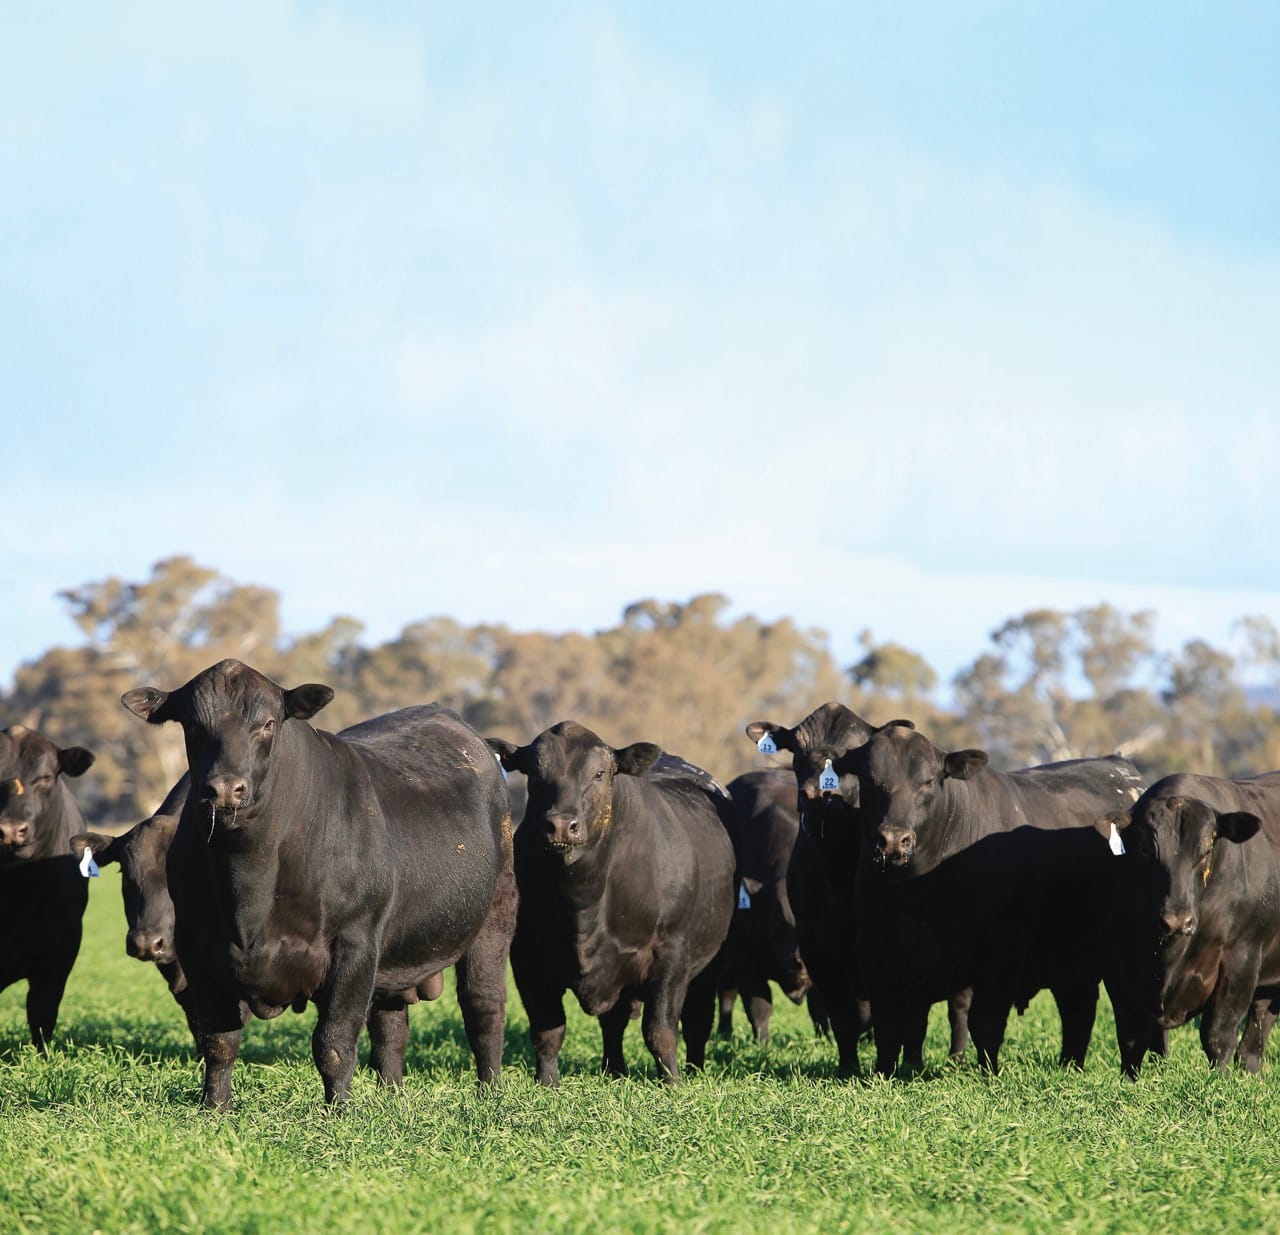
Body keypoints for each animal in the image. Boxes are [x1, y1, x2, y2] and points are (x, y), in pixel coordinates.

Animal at [121, 658, 517, 1109]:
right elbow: (218, 1042)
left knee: (483, 1006)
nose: (224, 789)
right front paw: (214, 1108)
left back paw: (489, 1092)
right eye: (192, 724)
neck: (250, 890)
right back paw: (391, 1094)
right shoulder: (197, 949)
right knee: (391, 1028)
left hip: (494, 917)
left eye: (267, 723)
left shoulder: (355, 944)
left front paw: (338, 1111)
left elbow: (334, 1043)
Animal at [486, 722, 735, 1086]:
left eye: (599, 773)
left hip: (710, 961)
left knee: (697, 1021)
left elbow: (660, 1029)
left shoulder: (672, 952)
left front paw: (672, 1083)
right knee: (613, 1022)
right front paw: (547, 1083)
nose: (561, 825)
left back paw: (694, 1070)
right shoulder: (528, 958)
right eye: (534, 772)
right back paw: (614, 1070)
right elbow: (548, 1030)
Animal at [717, 769, 828, 1043]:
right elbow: (759, 1007)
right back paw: (724, 1033)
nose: (799, 960)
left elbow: (819, 1006)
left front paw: (824, 1039)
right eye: (776, 922)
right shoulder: (744, 962)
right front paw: (762, 1044)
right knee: (726, 996)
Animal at [835, 721, 1147, 1075]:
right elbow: (888, 1028)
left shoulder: (1002, 951)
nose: (892, 839)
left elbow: (984, 1021)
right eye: (869, 780)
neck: (918, 892)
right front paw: (882, 1076)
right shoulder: (875, 952)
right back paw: (1069, 1065)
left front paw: (988, 1073)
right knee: (1078, 1008)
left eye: (927, 781)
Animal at [1101, 772, 1280, 1076]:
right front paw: (1129, 1082)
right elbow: (1131, 1039)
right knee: (1255, 1037)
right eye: (1146, 850)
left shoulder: (1243, 957)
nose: (1177, 920)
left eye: (1207, 849)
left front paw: (1219, 1081)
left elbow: (1218, 1035)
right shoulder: (1118, 966)